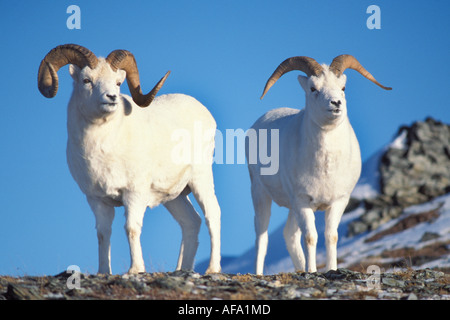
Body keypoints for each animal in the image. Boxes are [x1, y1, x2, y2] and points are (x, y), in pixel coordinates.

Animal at [37, 43, 221, 276]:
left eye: (118, 82)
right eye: (86, 80)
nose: (111, 97)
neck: (102, 151)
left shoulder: (134, 194)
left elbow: (131, 228)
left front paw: (135, 269)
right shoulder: (97, 200)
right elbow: (103, 234)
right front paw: (104, 272)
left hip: (200, 179)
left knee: (212, 215)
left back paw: (212, 269)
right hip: (175, 196)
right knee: (191, 223)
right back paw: (182, 269)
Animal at [248, 55, 392, 276]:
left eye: (343, 87)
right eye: (313, 88)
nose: (336, 103)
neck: (325, 166)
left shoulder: (338, 202)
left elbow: (330, 236)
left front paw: (331, 269)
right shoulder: (303, 202)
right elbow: (310, 237)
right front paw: (312, 270)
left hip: (290, 207)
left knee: (289, 235)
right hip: (261, 195)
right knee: (262, 239)